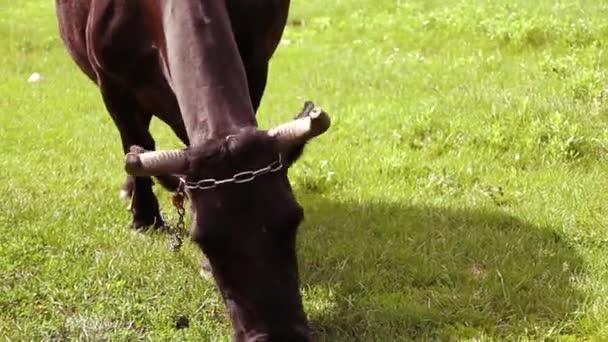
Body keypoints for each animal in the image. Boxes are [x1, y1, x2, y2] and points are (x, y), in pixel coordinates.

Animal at [55, 1, 332, 340]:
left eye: (293, 221)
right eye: (204, 240)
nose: (279, 336)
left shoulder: (256, 65)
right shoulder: (112, 86)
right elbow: (134, 142)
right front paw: (144, 218)